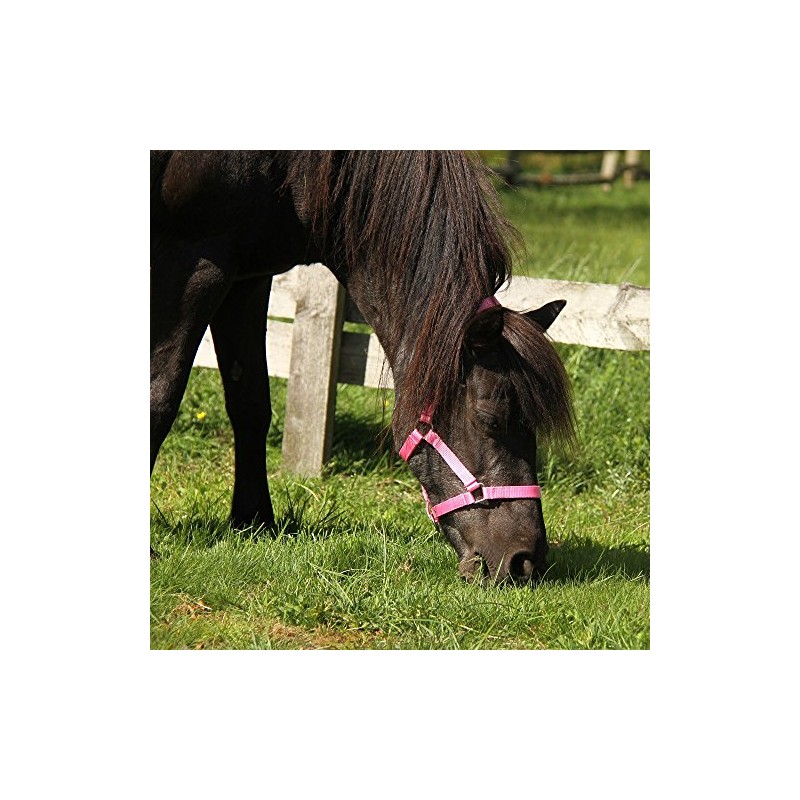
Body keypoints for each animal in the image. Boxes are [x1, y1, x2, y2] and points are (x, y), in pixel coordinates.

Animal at [150, 151, 575, 584]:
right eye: (490, 417)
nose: (526, 561)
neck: (299, 171)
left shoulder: (247, 276)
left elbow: (250, 405)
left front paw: (254, 521)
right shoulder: (198, 260)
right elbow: (160, 397)